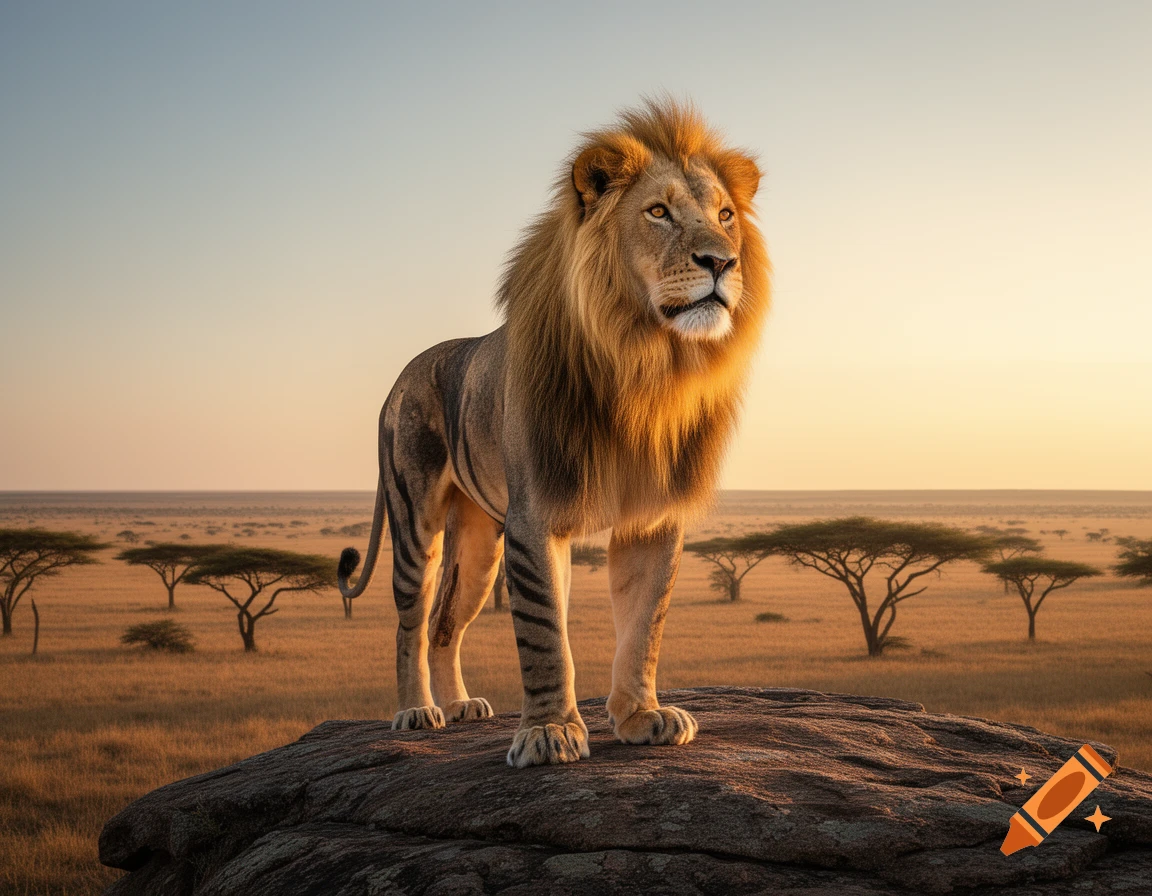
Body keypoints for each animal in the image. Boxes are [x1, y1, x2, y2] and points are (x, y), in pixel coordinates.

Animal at [338, 99, 770, 767]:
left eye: (726, 216)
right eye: (658, 212)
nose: (722, 261)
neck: (645, 364)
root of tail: (399, 379)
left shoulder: (651, 517)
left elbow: (643, 627)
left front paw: (642, 716)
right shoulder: (537, 514)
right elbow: (545, 636)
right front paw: (550, 732)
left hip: (479, 543)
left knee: (444, 623)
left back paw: (461, 705)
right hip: (416, 522)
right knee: (410, 622)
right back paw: (417, 711)